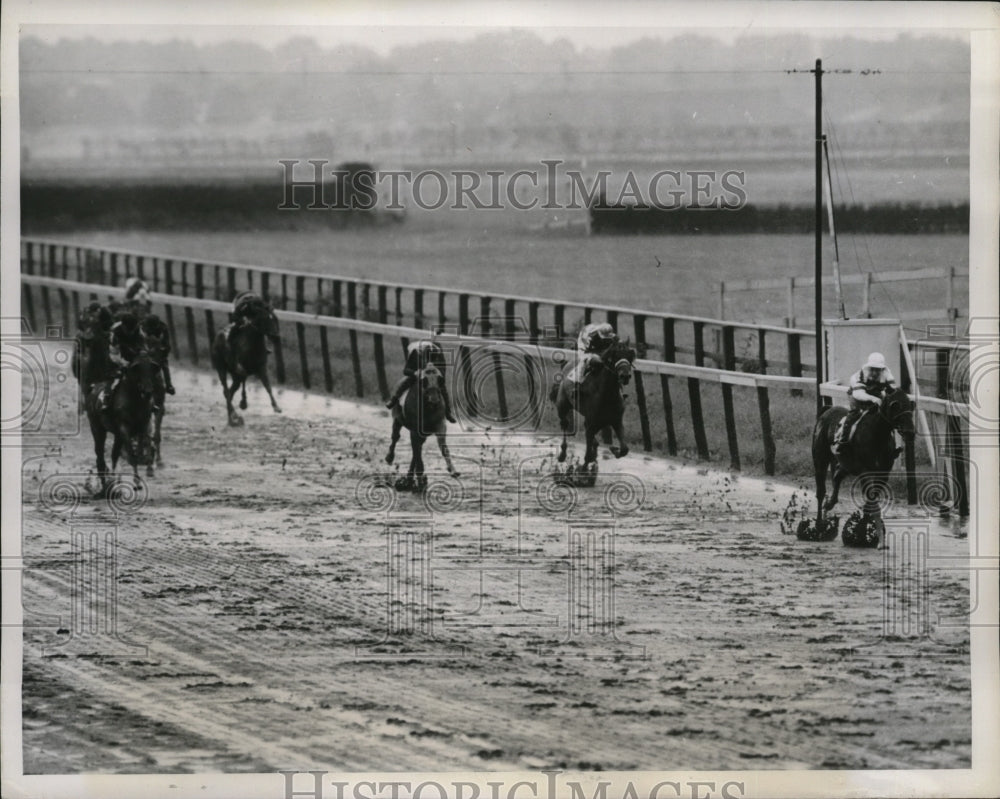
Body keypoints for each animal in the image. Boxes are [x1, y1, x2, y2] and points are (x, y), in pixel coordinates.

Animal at [84, 354, 159, 496]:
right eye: (137, 369)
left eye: (151, 369)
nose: (148, 391)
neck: (135, 399)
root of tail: (93, 388)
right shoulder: (124, 429)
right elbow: (131, 454)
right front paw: (137, 482)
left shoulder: (144, 426)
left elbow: (145, 446)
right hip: (97, 428)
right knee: (100, 455)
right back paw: (104, 484)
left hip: (117, 436)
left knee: (114, 455)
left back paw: (113, 482)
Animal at [552, 340, 636, 472]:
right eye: (615, 356)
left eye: (630, 356)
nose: (625, 376)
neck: (607, 395)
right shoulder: (592, 424)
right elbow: (587, 450)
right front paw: (584, 466)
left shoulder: (616, 421)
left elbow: (624, 449)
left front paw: (614, 449)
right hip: (562, 406)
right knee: (565, 424)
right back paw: (562, 454)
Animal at [812, 386, 916, 524]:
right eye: (895, 405)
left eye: (910, 405)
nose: (910, 433)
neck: (878, 436)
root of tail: (827, 410)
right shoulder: (865, 471)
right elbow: (869, 497)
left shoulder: (883, 472)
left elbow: (872, 498)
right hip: (820, 458)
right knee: (820, 491)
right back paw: (819, 521)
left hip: (847, 464)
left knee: (837, 475)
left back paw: (829, 503)